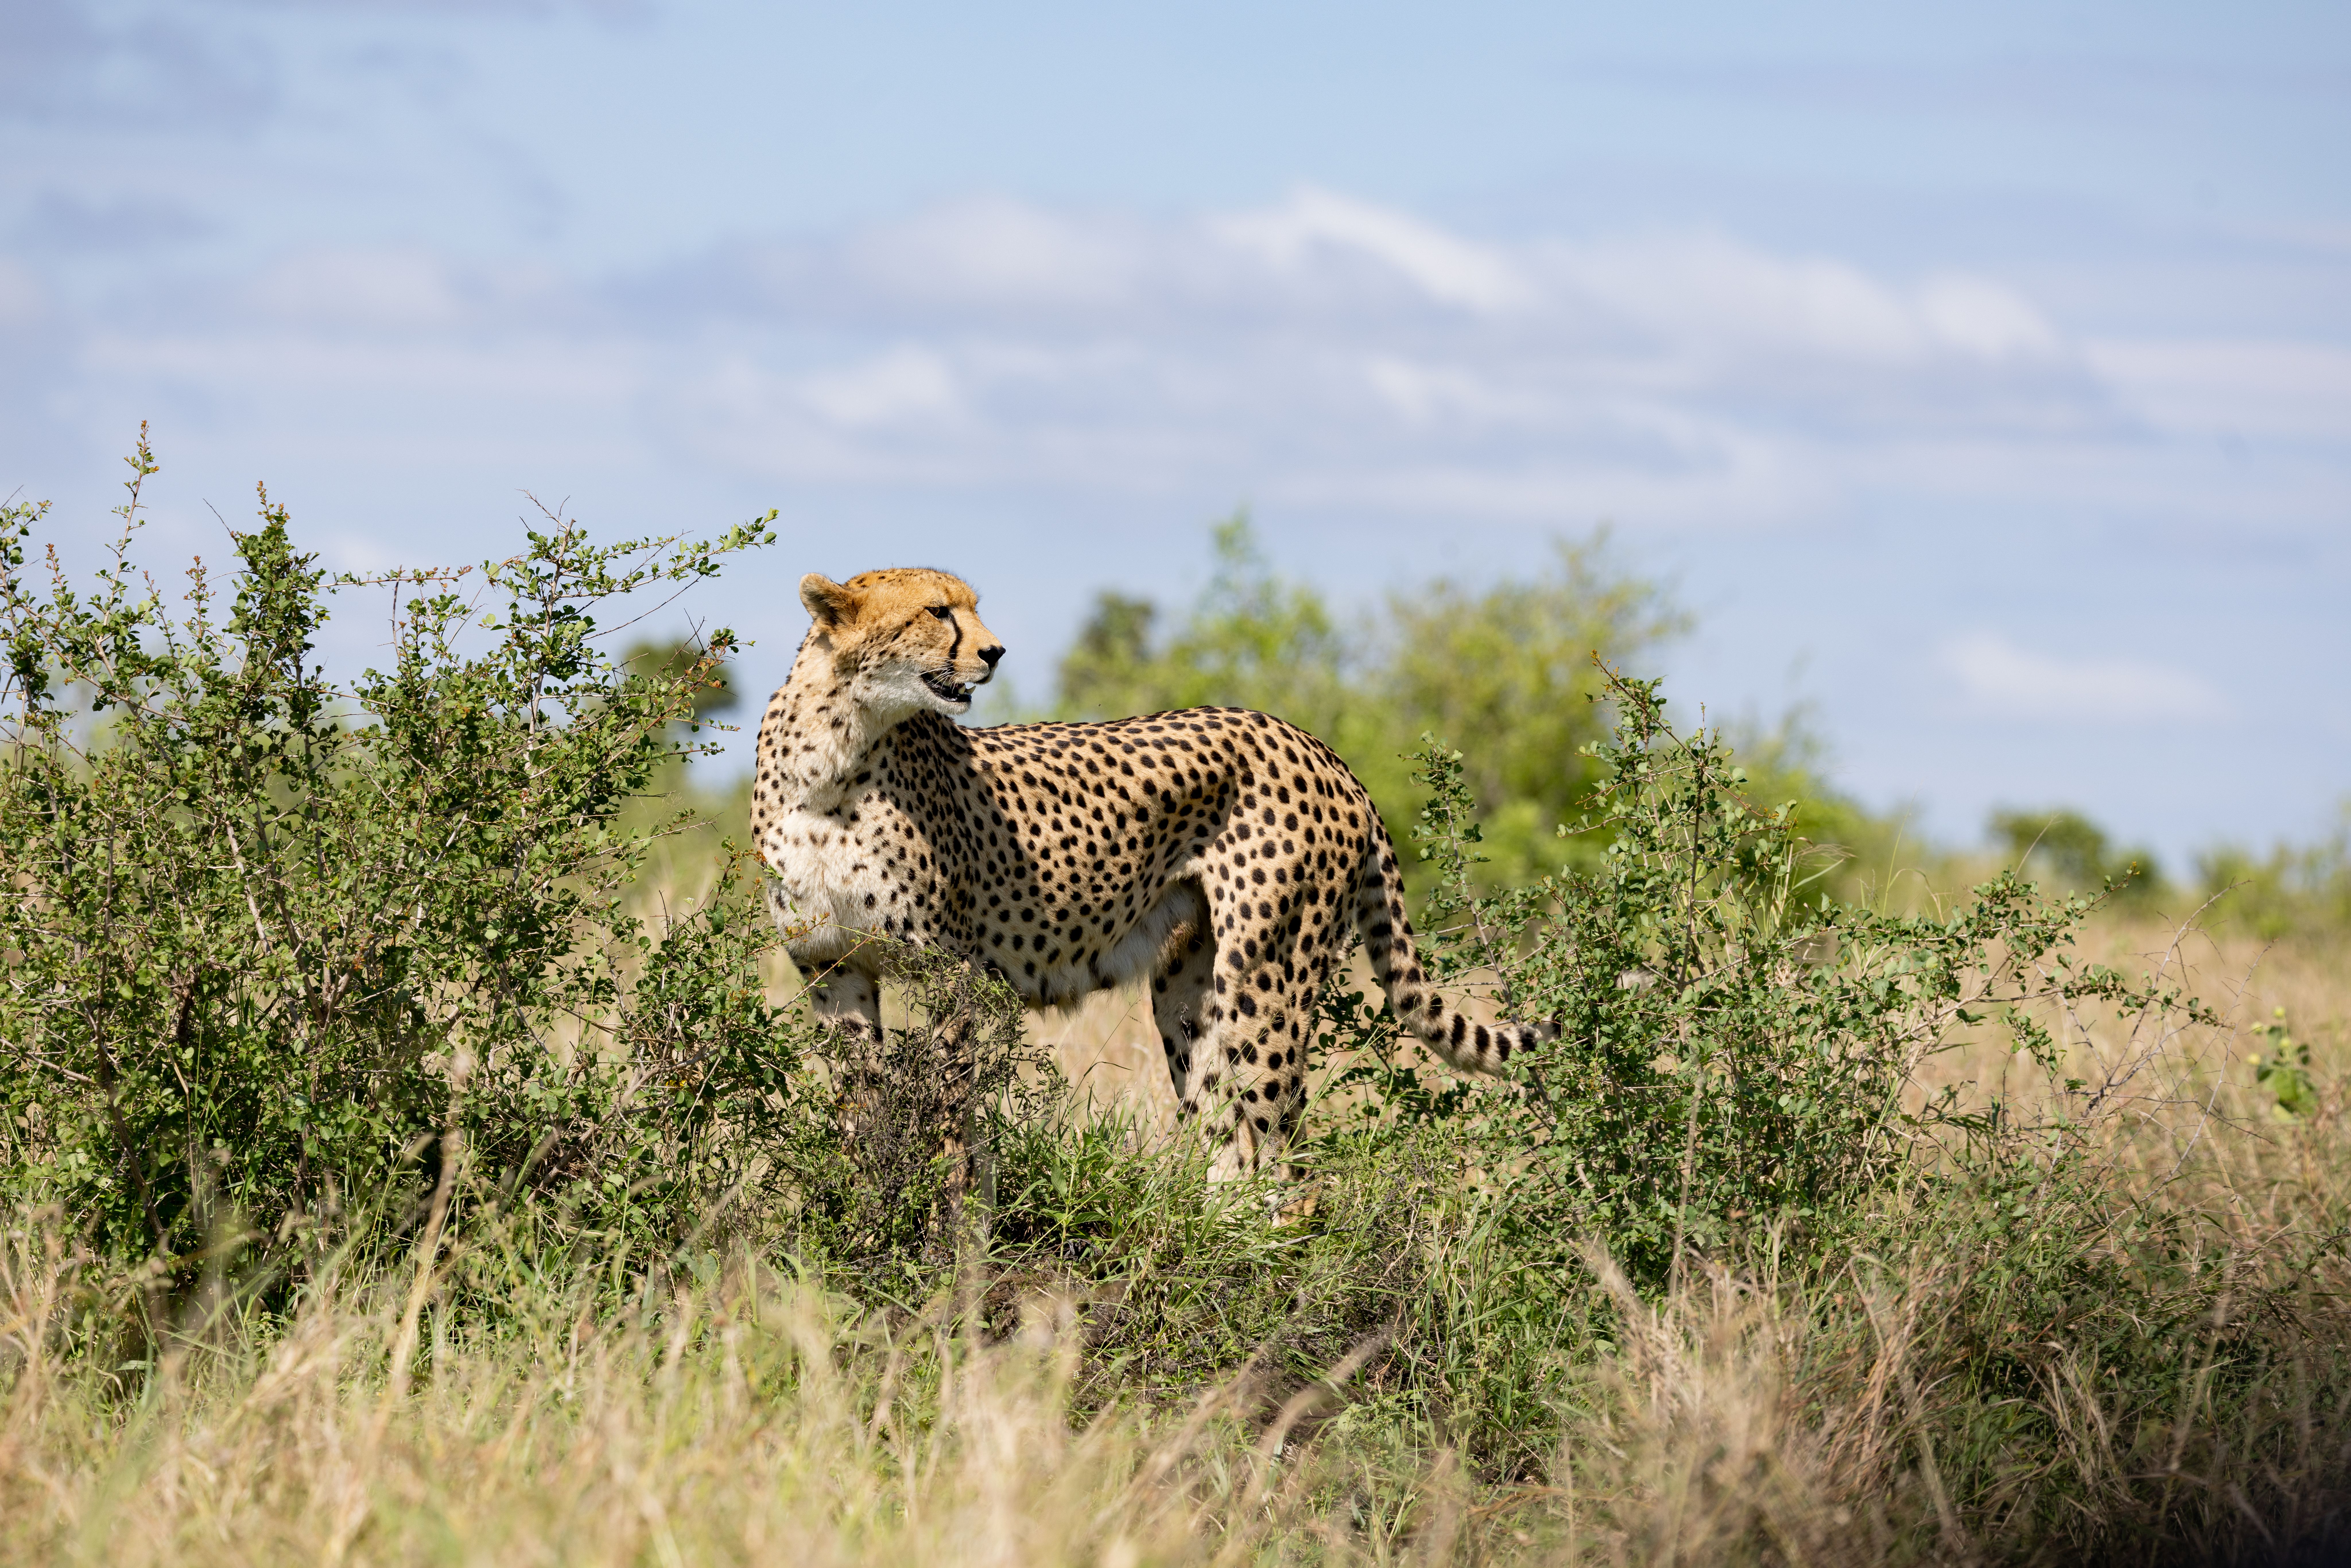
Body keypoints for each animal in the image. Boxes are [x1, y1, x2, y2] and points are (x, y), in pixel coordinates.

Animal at [750, 564, 1556, 1180]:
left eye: (971, 607)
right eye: (936, 610)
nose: (996, 651)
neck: (836, 757)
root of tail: (1314, 742)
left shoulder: (952, 971)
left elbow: (950, 1111)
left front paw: (948, 1227)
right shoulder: (833, 965)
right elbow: (860, 1112)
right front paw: (866, 1213)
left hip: (1267, 975)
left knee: (1285, 1153)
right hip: (1188, 987)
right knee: (1228, 1138)